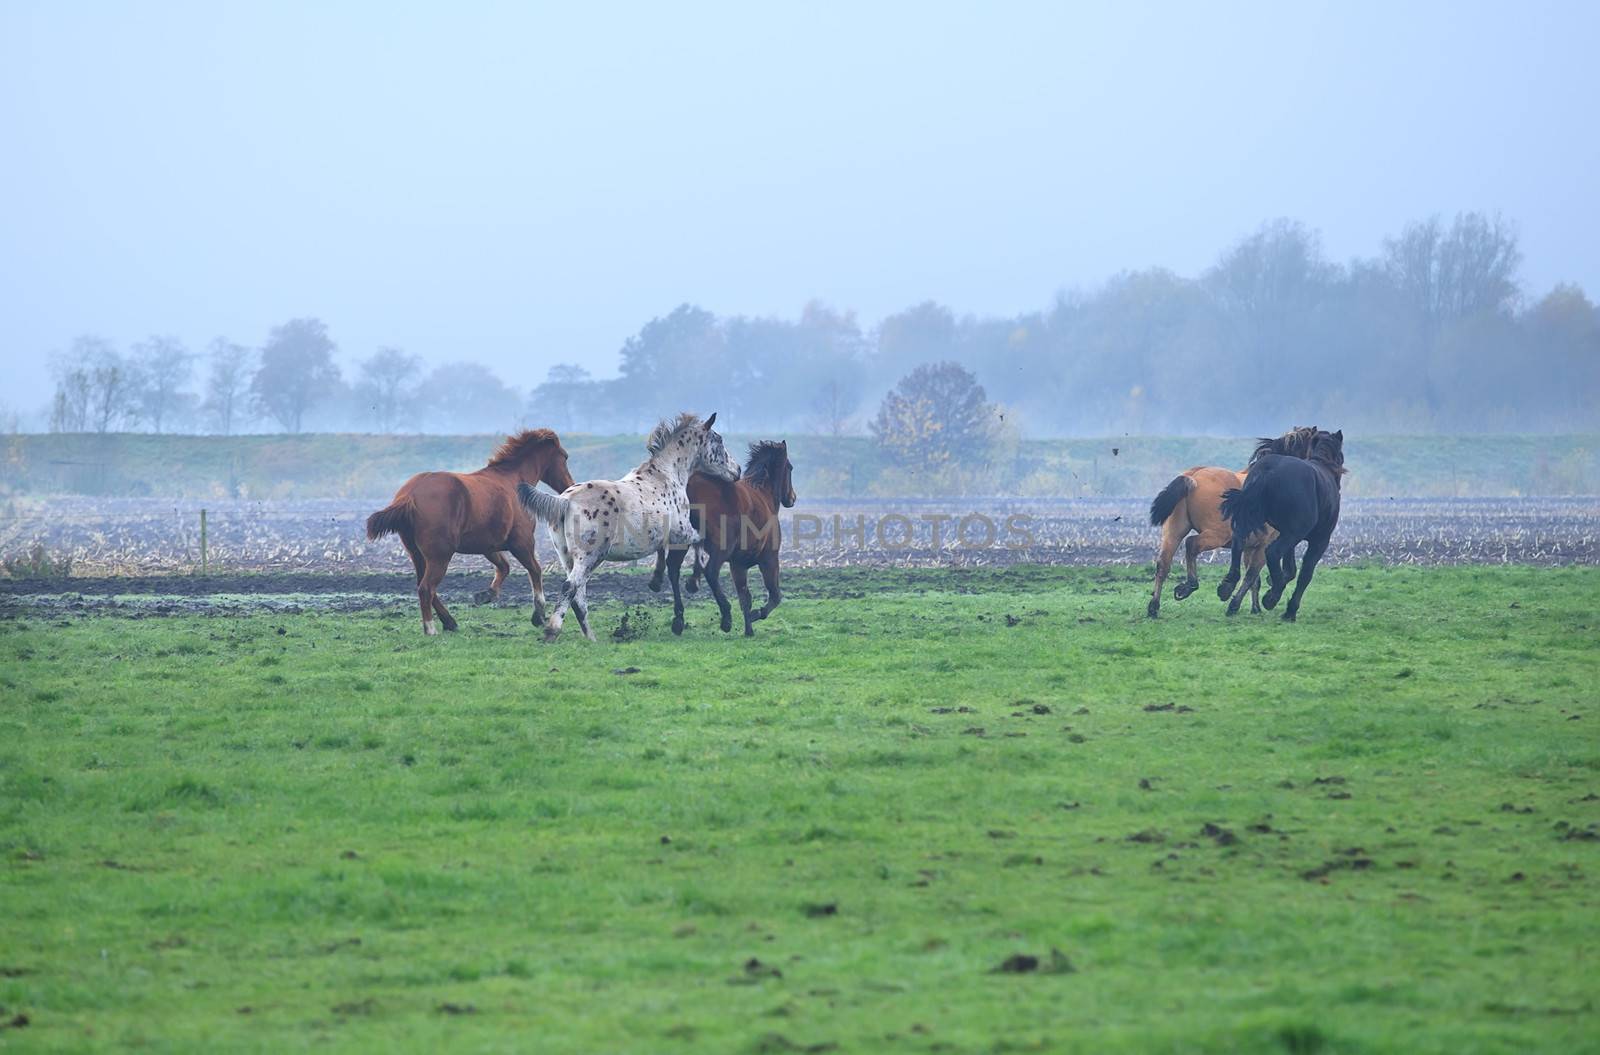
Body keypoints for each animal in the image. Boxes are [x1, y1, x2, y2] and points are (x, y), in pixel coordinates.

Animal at [366, 425, 576, 637]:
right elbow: (535, 570)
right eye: (565, 456)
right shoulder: (522, 542)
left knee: (424, 587)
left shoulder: (488, 546)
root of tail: (409, 496)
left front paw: (486, 595)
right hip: (440, 556)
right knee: (426, 588)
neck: (513, 481)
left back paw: (449, 622)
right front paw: (538, 614)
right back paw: (431, 628)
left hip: (416, 555)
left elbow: (504, 567)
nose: (569, 486)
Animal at [521, 413, 739, 643]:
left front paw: (657, 581)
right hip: (590, 556)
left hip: (566, 557)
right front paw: (698, 591)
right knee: (570, 587)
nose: (738, 470)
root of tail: (565, 500)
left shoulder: (668, 536)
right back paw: (552, 631)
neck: (666, 476)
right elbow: (699, 547)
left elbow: (667, 554)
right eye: (719, 440)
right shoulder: (683, 533)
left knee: (578, 596)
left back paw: (591, 639)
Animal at [649, 441, 800, 640]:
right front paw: (754, 616)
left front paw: (748, 629)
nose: (792, 498)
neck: (763, 494)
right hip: (721, 549)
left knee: (673, 569)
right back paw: (726, 617)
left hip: (682, 542)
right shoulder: (769, 560)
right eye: (790, 467)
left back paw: (678, 620)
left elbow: (745, 597)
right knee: (710, 572)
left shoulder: (738, 564)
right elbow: (774, 596)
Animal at [1145, 422, 1318, 617]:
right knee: (1191, 545)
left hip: (1173, 532)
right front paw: (1236, 603)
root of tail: (1193, 476)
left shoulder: (1250, 547)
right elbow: (1251, 575)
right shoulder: (1264, 546)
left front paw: (1255, 608)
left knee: (1163, 564)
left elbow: (1255, 580)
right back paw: (1188, 586)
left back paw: (1154, 607)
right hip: (1217, 535)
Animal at [1216, 429, 1344, 624]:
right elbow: (1305, 573)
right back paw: (1272, 597)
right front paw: (1289, 609)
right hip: (1292, 534)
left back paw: (1228, 586)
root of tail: (1269, 471)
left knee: (1238, 542)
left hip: (1252, 519)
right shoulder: (1319, 540)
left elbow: (1290, 569)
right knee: (1273, 552)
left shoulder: (1285, 534)